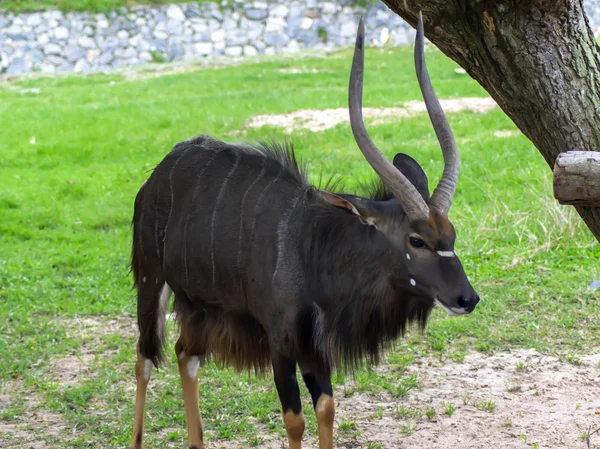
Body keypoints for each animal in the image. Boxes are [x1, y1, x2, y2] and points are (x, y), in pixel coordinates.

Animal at [130, 13, 478, 448]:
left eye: (452, 234)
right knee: (144, 358)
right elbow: (294, 418)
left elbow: (325, 408)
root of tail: (157, 175)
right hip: (151, 282)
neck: (313, 248)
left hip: (198, 307)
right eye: (416, 240)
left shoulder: (316, 347)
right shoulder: (280, 341)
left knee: (184, 354)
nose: (468, 298)